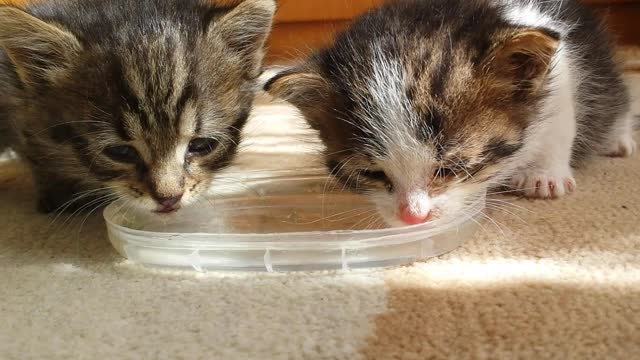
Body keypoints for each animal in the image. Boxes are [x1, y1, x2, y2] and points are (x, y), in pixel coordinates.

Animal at [0, 0, 276, 214]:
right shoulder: (17, 101)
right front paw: (60, 190)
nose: (169, 198)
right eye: (120, 152)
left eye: (202, 145)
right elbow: (35, 149)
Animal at [264, 0, 636, 225]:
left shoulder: (561, 70)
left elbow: (560, 123)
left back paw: (617, 139)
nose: (413, 217)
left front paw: (543, 175)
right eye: (372, 173)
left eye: (450, 170)